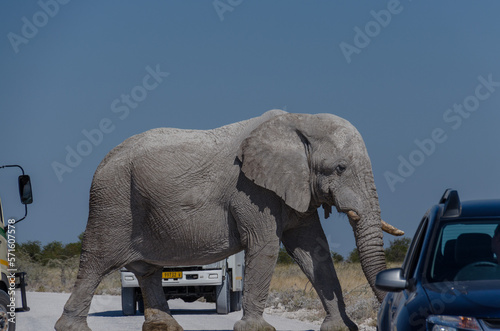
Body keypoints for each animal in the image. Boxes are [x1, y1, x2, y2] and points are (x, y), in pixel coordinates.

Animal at [56, 110, 404, 330]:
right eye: (341, 167)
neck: (300, 121)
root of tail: (104, 160)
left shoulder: (296, 189)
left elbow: (313, 251)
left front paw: (341, 328)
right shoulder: (250, 190)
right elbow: (264, 246)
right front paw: (256, 329)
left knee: (147, 269)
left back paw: (164, 326)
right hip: (112, 201)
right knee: (97, 260)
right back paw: (72, 328)